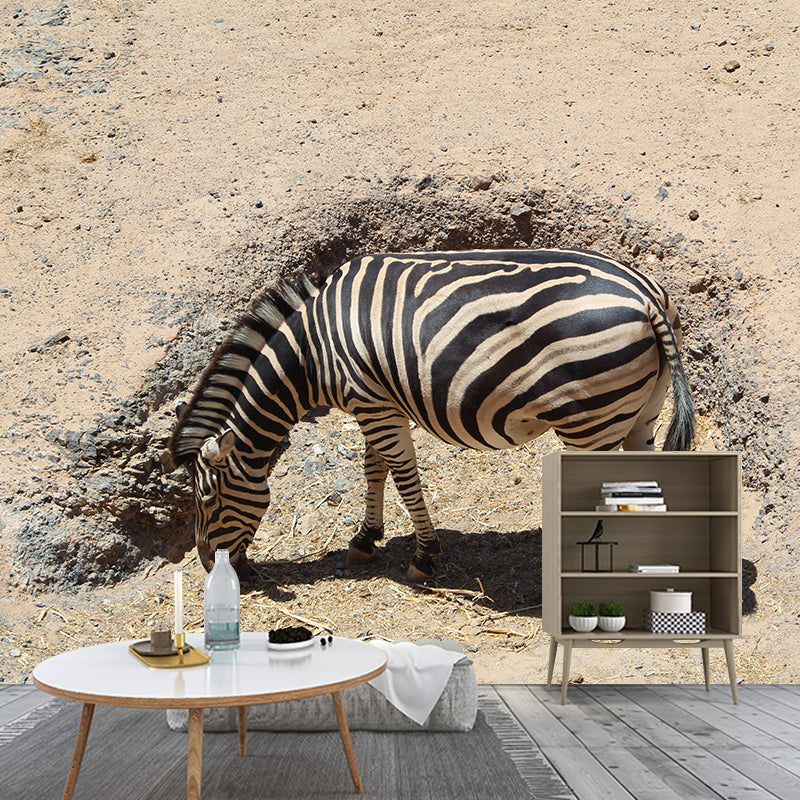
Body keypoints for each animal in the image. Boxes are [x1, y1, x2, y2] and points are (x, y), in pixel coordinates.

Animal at [170, 248, 694, 582]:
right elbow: (374, 467)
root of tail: (645, 294)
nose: (208, 565)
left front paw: (424, 556)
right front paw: (366, 539)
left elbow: (402, 474)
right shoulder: (376, 400)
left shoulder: (371, 402)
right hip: (641, 412)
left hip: (590, 420)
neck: (311, 354)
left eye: (207, 500)